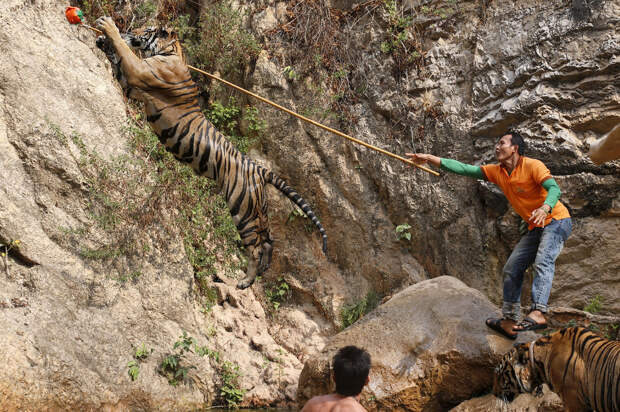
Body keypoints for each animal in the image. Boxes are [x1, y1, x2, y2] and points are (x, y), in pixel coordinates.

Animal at [94, 16, 326, 290]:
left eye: (147, 29)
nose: (131, 30)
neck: (171, 52)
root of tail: (258, 167)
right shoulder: (130, 83)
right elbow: (117, 59)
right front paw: (102, 41)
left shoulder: (138, 72)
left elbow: (124, 52)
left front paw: (108, 28)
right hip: (258, 208)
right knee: (269, 239)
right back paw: (261, 272)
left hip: (242, 210)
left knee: (256, 247)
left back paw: (244, 281)